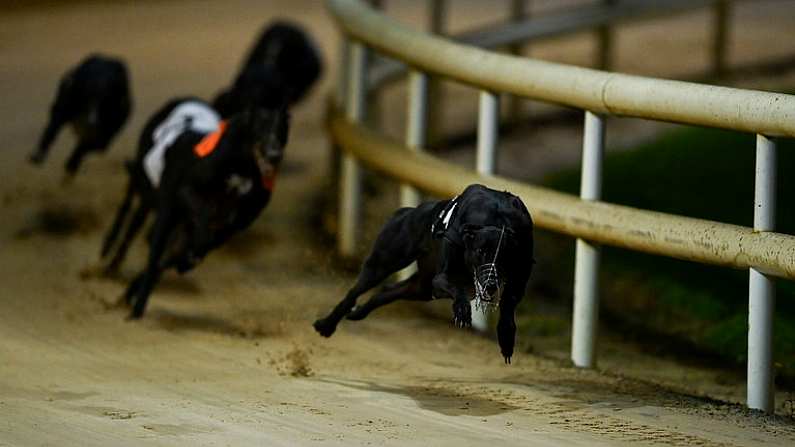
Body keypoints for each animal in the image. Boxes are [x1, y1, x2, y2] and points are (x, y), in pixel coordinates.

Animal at [101, 100, 290, 320]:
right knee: (134, 220)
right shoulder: (185, 192)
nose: (274, 156)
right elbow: (199, 221)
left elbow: (194, 247)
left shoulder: (236, 223)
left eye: (281, 130)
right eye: (261, 127)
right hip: (152, 194)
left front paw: (187, 260)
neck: (243, 168)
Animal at [316, 186, 536, 364]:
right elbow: (457, 290)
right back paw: (326, 325)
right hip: (383, 263)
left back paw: (358, 313)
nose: (490, 283)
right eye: (480, 251)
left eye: (505, 256)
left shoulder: (518, 280)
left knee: (386, 291)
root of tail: (408, 210)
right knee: (354, 292)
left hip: (422, 288)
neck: (497, 218)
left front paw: (506, 338)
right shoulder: (442, 278)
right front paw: (462, 311)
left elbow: (508, 305)